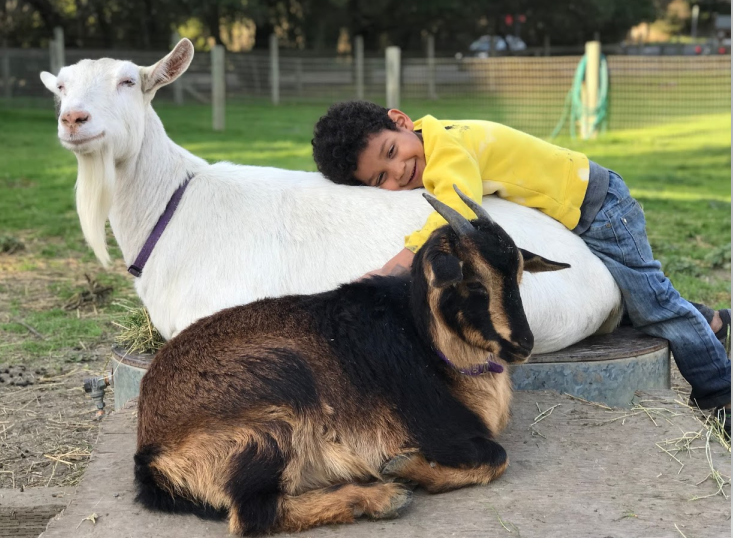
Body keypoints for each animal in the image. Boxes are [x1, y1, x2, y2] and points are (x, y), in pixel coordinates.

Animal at [135, 187, 570, 535]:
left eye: (518, 276)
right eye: (475, 283)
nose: (523, 345)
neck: (428, 346)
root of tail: (151, 444)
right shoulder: (437, 433)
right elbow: (497, 458)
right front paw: (404, 467)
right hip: (272, 414)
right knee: (255, 515)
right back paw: (383, 497)